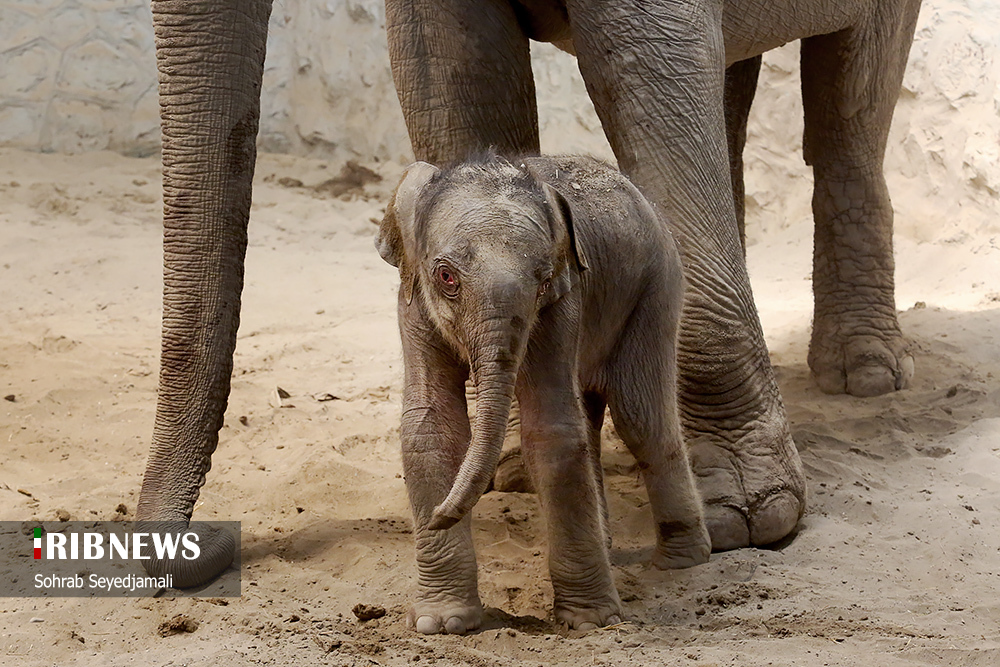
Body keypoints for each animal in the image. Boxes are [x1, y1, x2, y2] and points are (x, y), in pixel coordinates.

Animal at [376, 154, 712, 636]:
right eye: (445, 277)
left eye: (543, 281)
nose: (439, 514)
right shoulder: (412, 303)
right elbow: (431, 425)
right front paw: (440, 624)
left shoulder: (561, 302)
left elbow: (551, 426)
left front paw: (590, 622)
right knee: (594, 414)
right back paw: (612, 551)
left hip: (658, 285)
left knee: (641, 417)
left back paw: (683, 561)